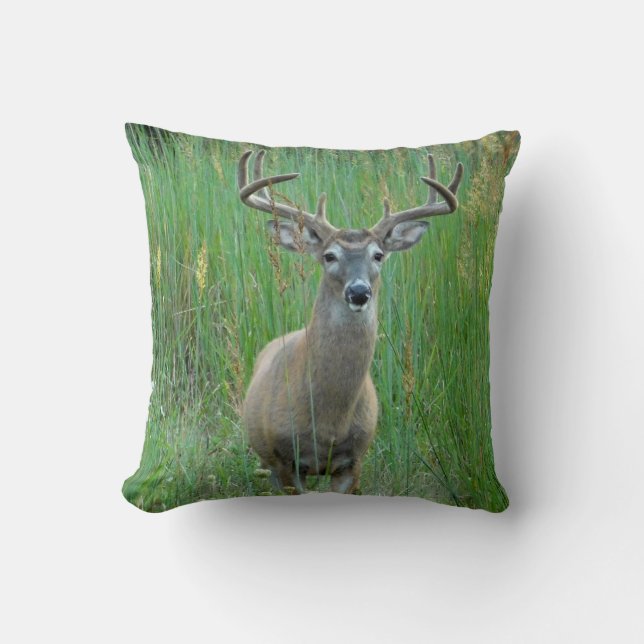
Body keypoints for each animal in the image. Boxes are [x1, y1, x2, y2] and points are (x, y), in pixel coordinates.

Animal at [238, 150, 463, 494]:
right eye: (329, 256)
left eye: (378, 255)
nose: (359, 292)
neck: (329, 423)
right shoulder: (286, 461)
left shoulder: (353, 460)